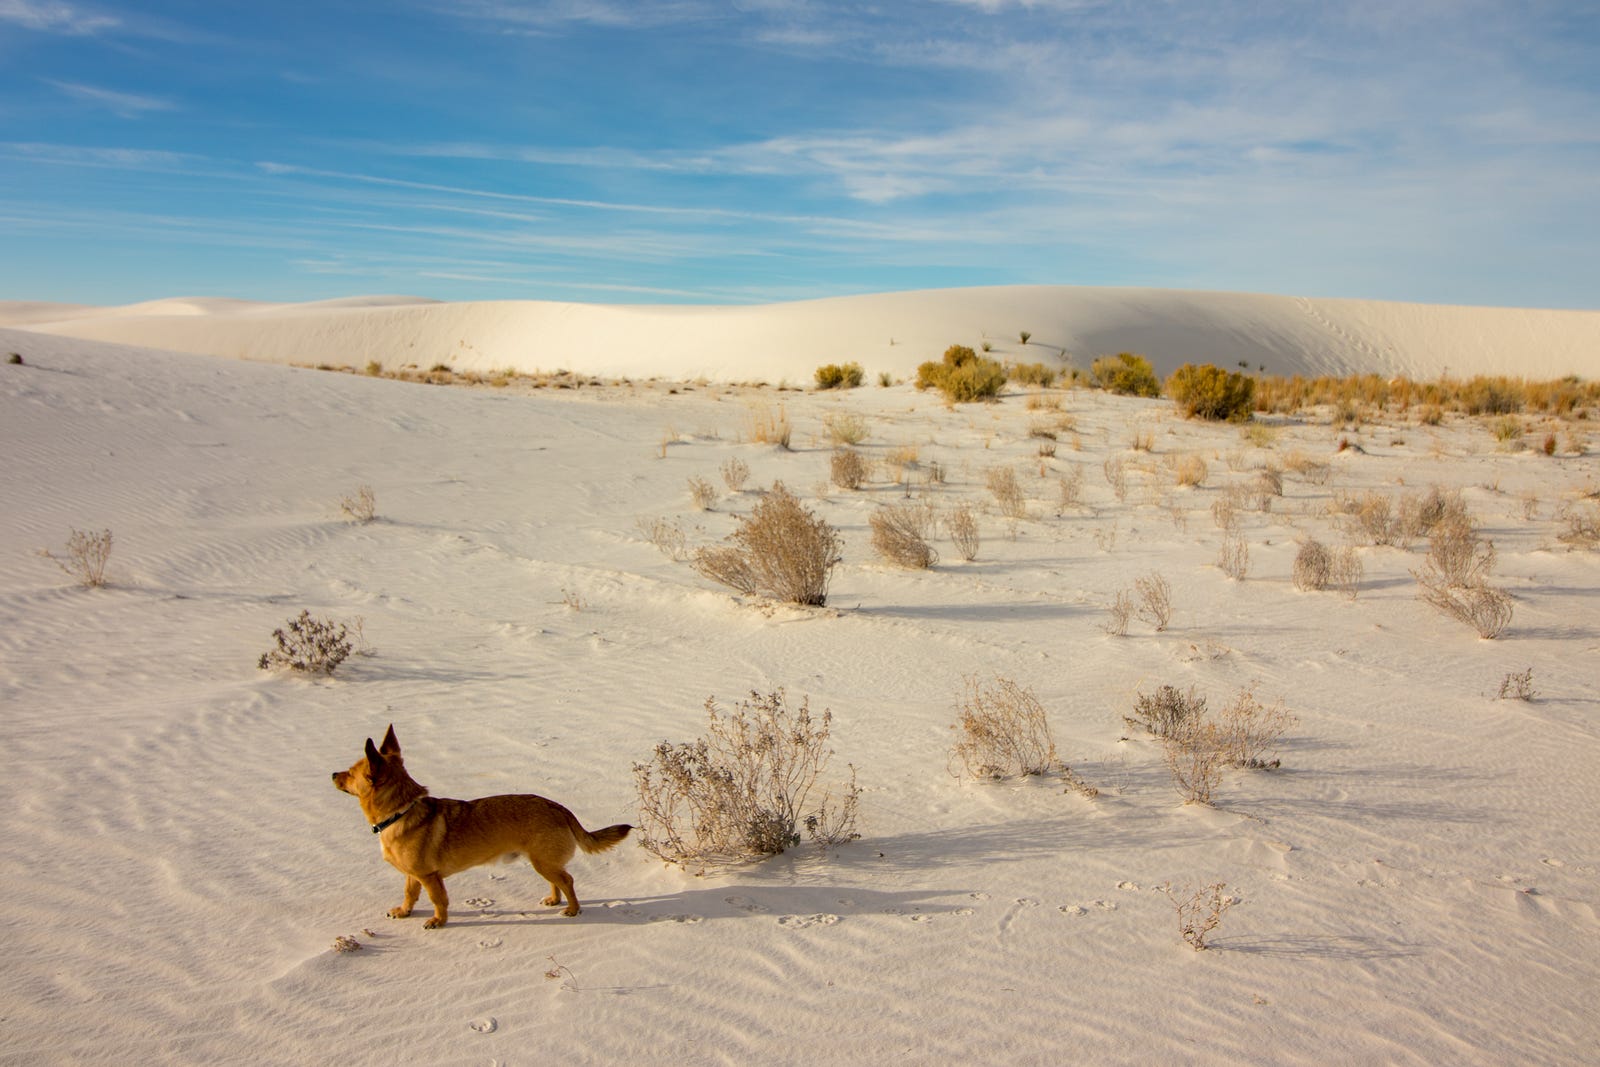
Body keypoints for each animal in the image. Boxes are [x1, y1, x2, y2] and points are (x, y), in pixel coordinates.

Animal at [331, 725, 631, 929]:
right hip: (542, 862)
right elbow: (410, 893)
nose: (333, 774)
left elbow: (438, 900)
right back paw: (555, 900)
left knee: (567, 880)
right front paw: (404, 912)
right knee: (558, 880)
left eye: (350, 772)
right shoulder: (413, 875)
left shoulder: (429, 876)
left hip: (543, 862)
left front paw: (438, 921)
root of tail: (560, 808)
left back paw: (572, 909)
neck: (401, 811)